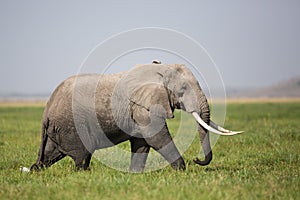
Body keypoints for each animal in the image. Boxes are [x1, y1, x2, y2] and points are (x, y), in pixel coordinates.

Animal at [30, 61, 241, 173]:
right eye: (182, 89)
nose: (197, 160)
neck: (161, 70)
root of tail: (46, 111)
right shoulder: (144, 107)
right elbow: (156, 137)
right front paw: (181, 170)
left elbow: (142, 142)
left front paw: (135, 174)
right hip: (72, 125)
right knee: (82, 157)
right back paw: (84, 173)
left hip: (58, 128)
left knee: (50, 155)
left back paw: (35, 170)